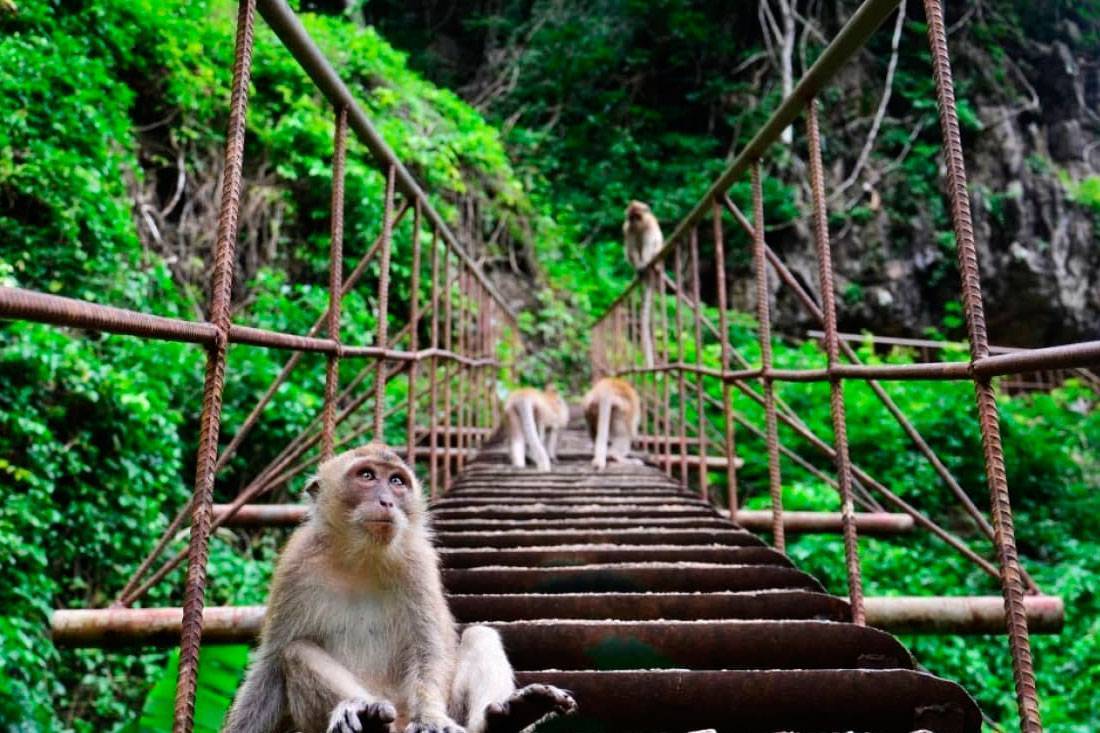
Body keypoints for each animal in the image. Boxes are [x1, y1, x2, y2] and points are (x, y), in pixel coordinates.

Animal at [221, 440, 576, 730]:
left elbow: (429, 646)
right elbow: (271, 663)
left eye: (396, 482)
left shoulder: (416, 563)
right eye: (367, 476)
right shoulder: (296, 565)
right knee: (295, 652)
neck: (360, 557)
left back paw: (503, 719)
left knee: (480, 635)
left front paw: (431, 717)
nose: (387, 502)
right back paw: (364, 713)